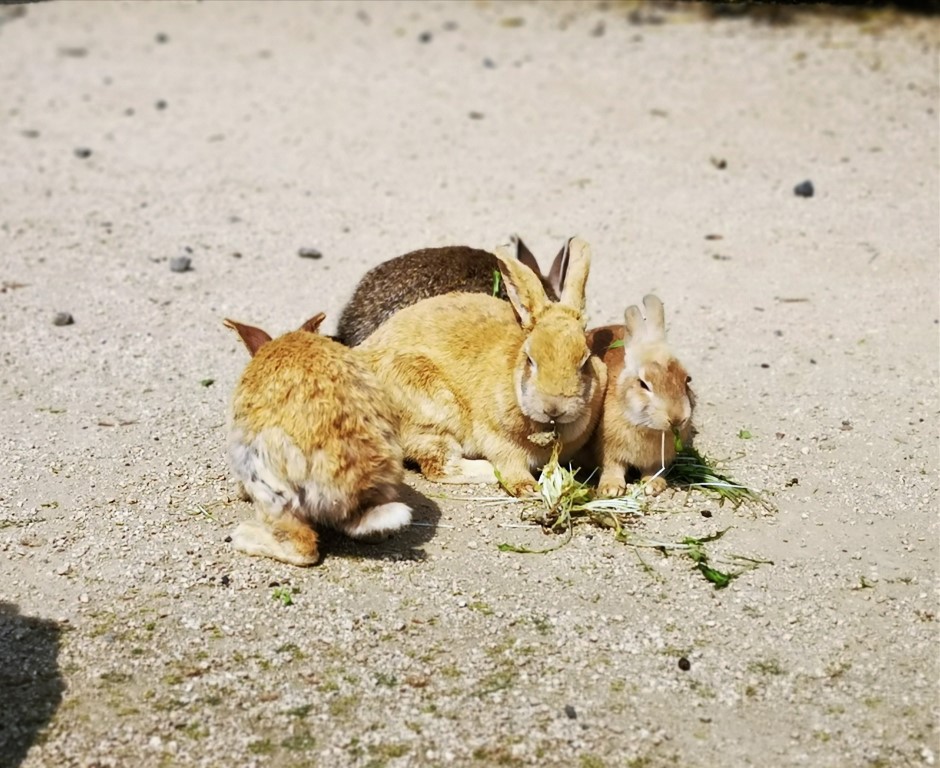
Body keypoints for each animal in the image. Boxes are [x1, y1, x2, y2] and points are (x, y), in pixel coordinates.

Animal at [584, 294, 692, 498]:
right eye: (643, 384)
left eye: (687, 380)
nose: (676, 418)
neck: (646, 427)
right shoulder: (608, 450)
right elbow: (612, 467)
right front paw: (611, 489)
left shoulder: (658, 460)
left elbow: (654, 470)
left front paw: (654, 485)